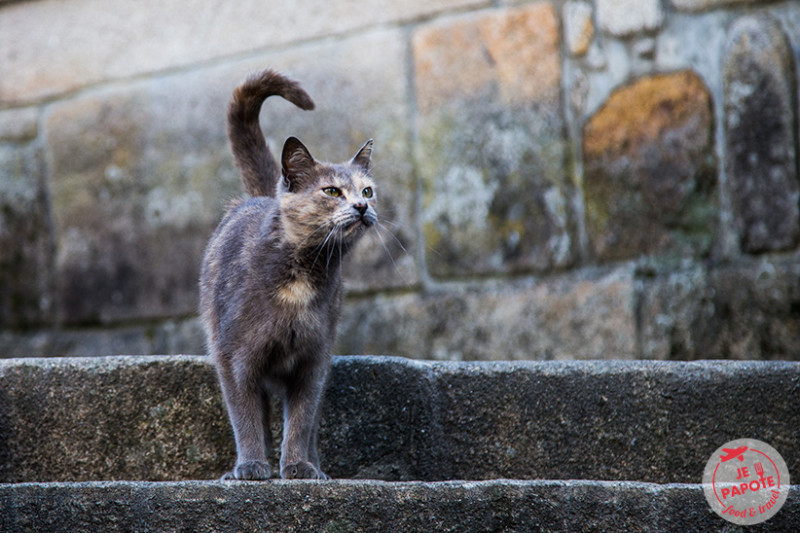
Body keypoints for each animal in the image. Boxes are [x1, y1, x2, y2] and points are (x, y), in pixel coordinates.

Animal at [198, 68, 376, 480]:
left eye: (367, 191)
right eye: (331, 191)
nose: (362, 207)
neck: (304, 273)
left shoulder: (314, 359)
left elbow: (301, 418)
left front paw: (298, 466)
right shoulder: (235, 357)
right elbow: (245, 416)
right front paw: (250, 467)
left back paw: (317, 467)